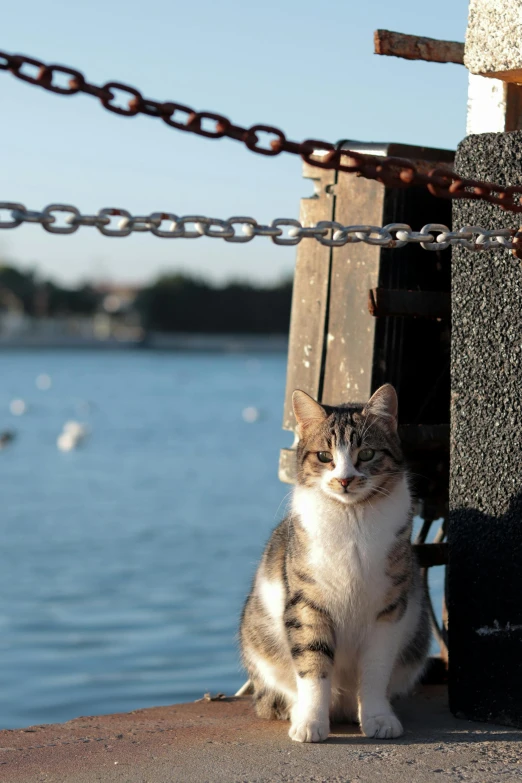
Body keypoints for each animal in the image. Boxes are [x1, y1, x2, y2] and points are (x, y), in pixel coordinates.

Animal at [239, 388, 426, 748]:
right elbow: (313, 664)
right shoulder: (307, 604)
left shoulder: (389, 609)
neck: (352, 518)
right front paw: (311, 721)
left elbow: (376, 669)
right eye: (325, 456)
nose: (345, 479)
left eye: (366, 453)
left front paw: (378, 718)